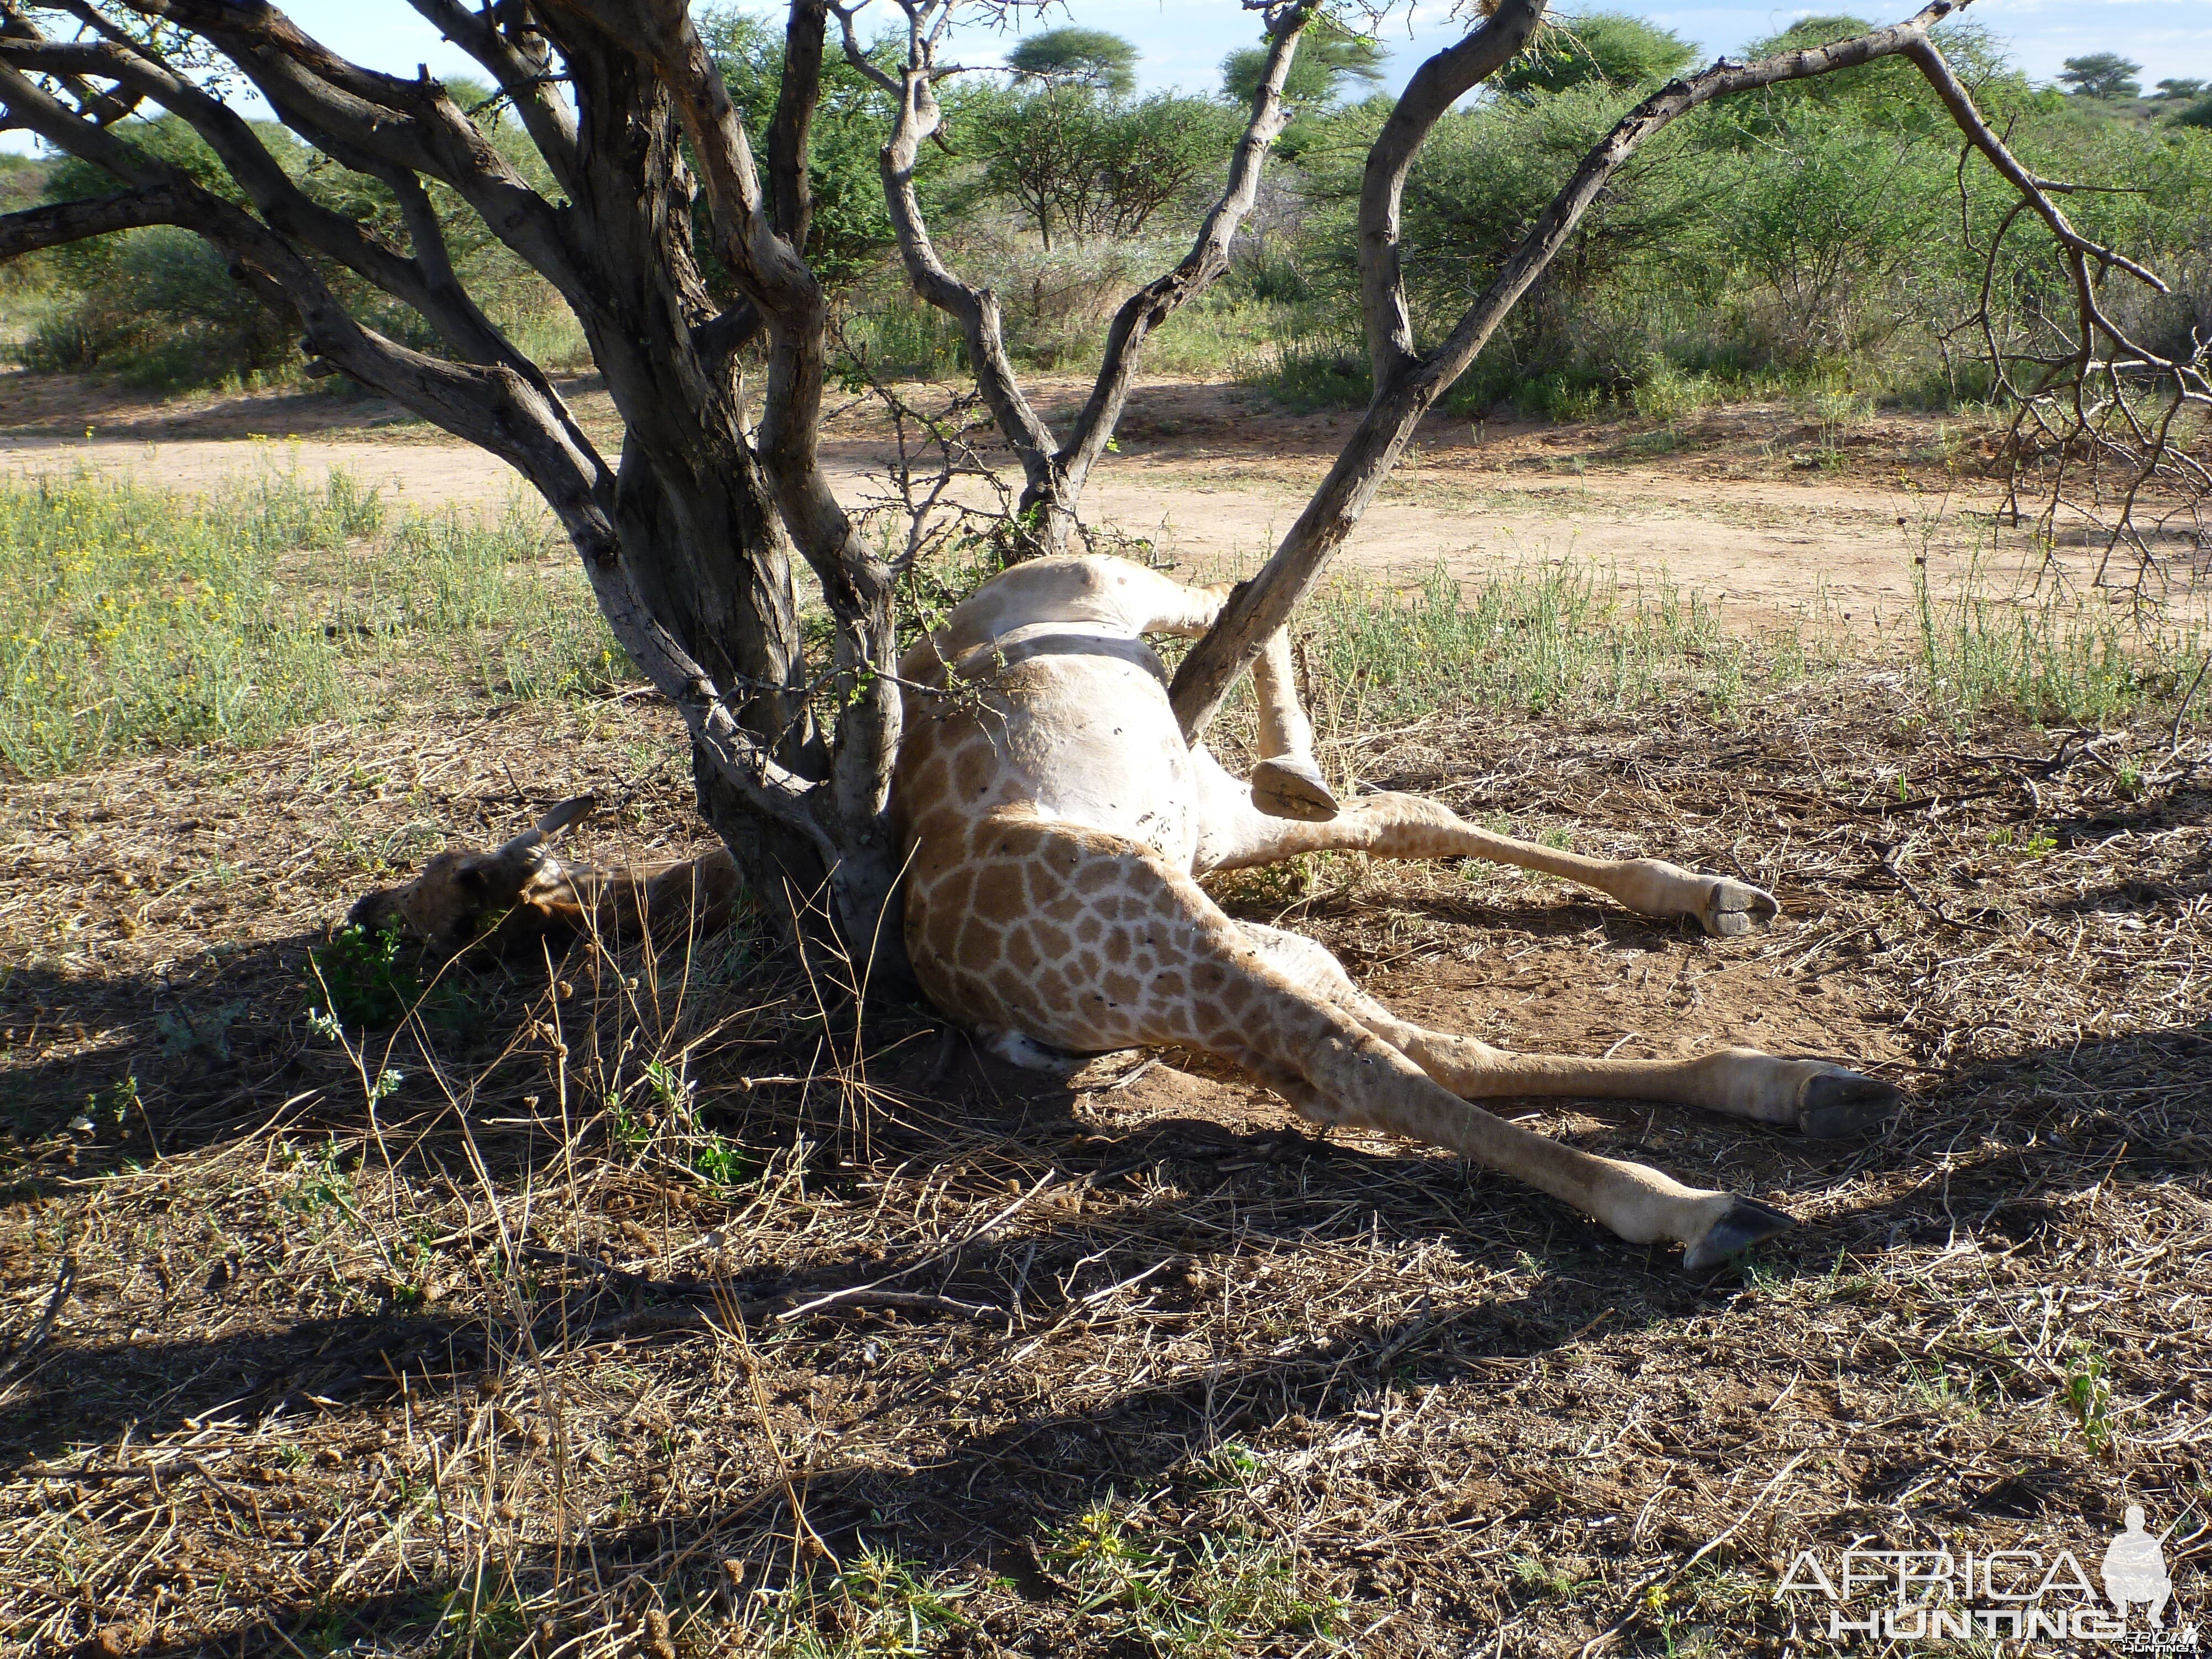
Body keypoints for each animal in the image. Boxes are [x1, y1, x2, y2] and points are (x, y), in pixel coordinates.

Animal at [889, 560, 1893, 1274]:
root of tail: (977, 1003)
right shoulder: (1096, 589)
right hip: (1152, 909)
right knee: (1361, 1061)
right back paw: (1696, 1205)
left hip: (1202, 884)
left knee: (1415, 1006)